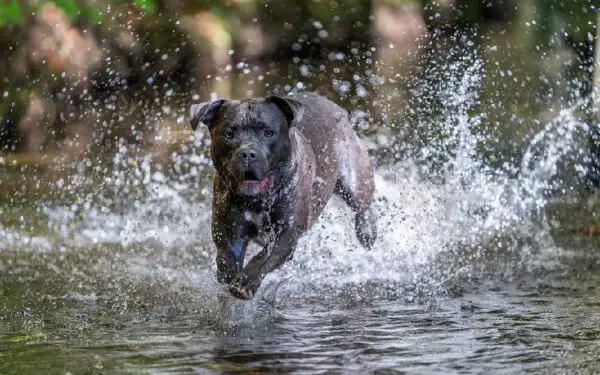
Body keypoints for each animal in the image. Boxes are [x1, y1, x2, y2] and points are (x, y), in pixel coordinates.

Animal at [190, 92, 378, 302]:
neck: (256, 200)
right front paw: (229, 274)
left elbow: (263, 258)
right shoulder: (228, 230)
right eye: (229, 134)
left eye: (268, 132)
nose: (247, 153)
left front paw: (245, 283)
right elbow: (228, 257)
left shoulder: (286, 234)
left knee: (363, 205)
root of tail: (333, 105)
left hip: (353, 178)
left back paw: (367, 232)